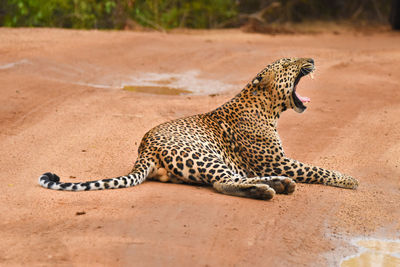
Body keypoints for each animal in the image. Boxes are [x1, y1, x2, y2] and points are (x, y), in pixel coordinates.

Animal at [39, 58, 360, 201]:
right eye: (287, 64)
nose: (311, 60)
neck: (268, 108)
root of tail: (144, 149)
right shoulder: (276, 161)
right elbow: (317, 168)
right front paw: (349, 179)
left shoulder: (275, 162)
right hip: (204, 155)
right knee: (223, 182)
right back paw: (269, 190)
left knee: (231, 179)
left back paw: (278, 185)